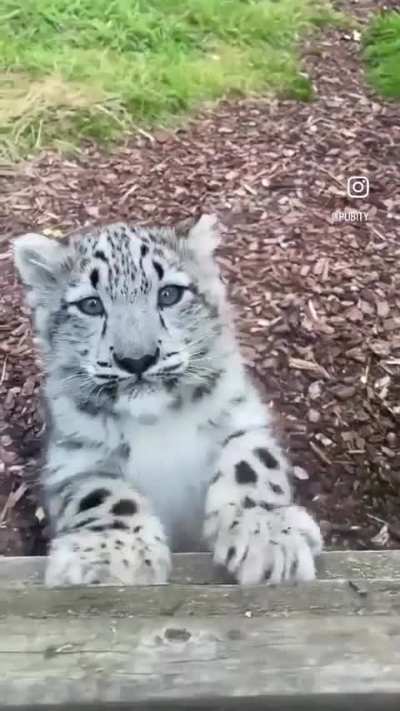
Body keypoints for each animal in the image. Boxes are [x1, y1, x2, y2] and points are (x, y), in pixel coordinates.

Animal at [13, 214, 322, 586]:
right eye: (90, 304)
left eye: (169, 294)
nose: (137, 360)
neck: (156, 425)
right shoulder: (76, 456)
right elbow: (100, 492)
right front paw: (107, 554)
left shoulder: (239, 415)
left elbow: (252, 461)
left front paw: (268, 536)